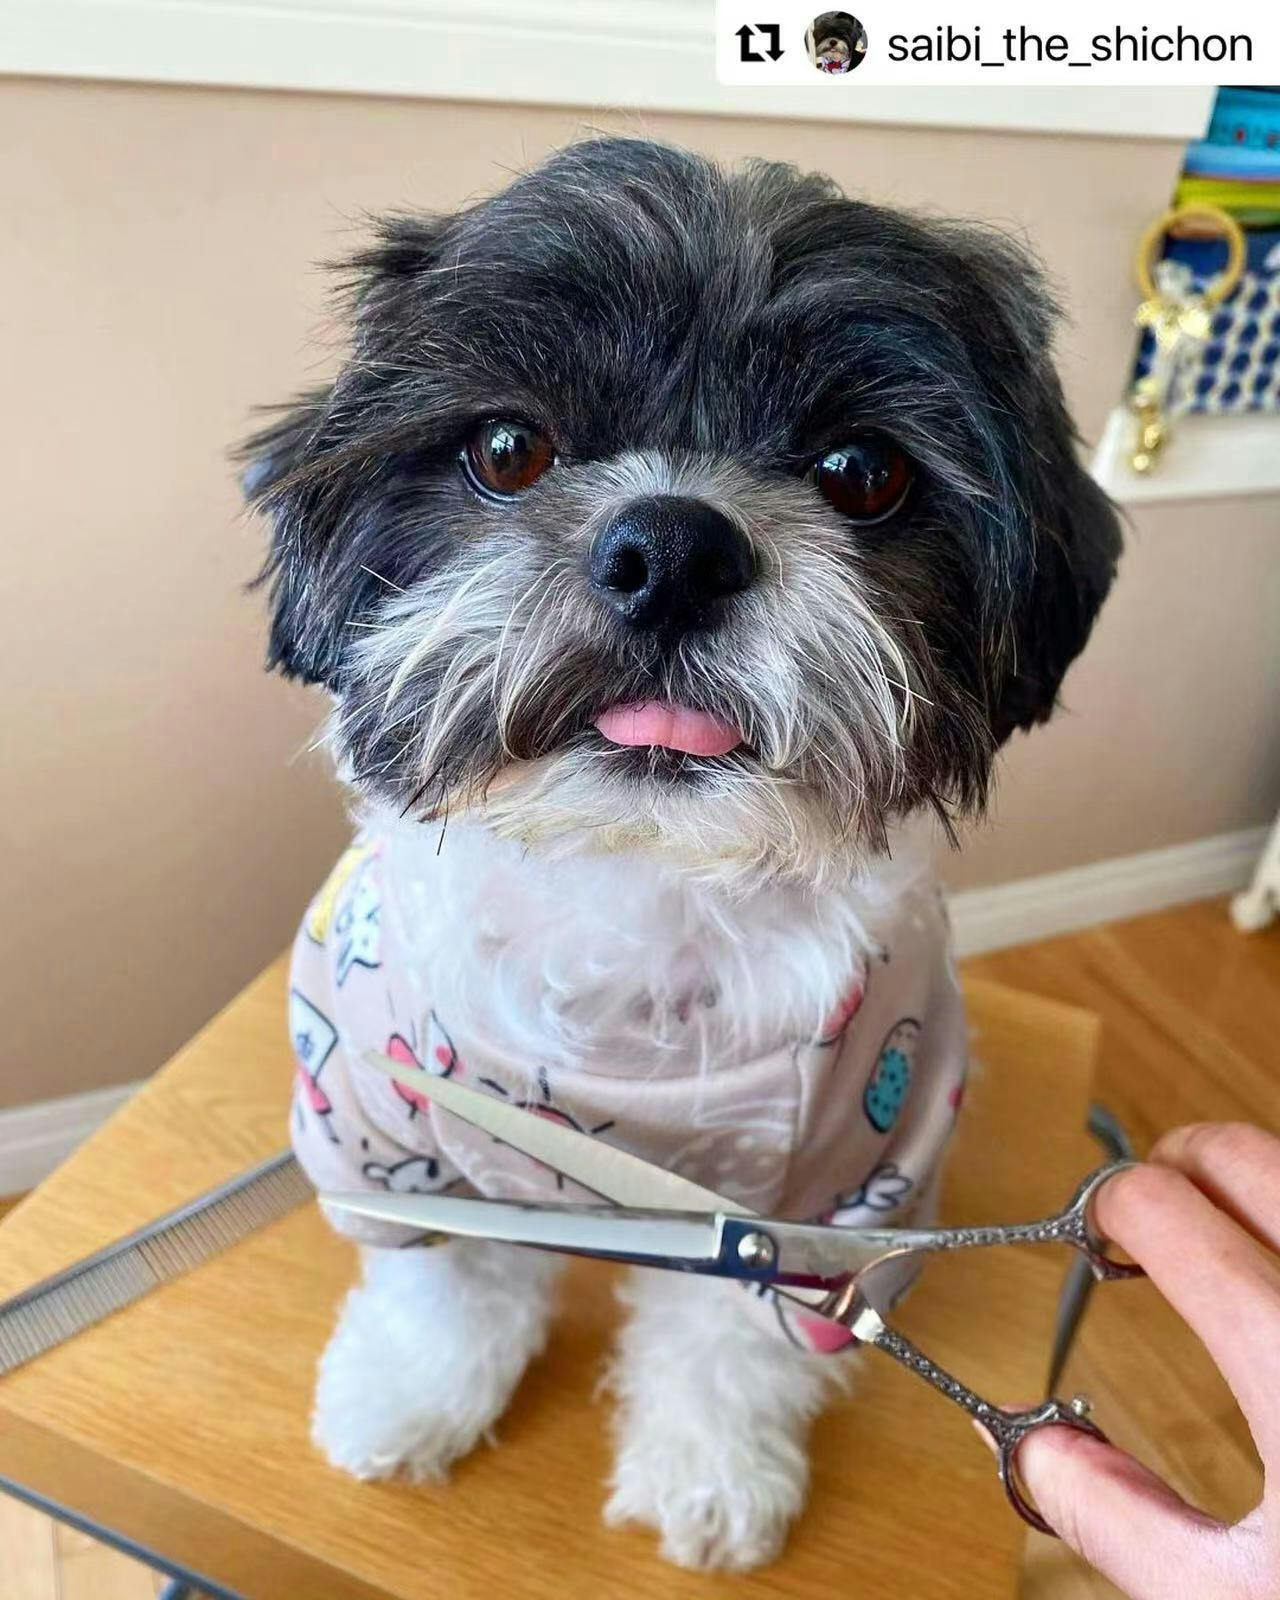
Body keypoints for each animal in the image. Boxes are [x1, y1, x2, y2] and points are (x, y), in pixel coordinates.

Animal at [242, 137, 1120, 1570]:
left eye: (860, 471)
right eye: (507, 448)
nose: (671, 546)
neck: (637, 896)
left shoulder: (832, 1197)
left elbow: (731, 1333)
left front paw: (711, 1471)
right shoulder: (380, 1136)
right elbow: (448, 1280)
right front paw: (411, 1396)